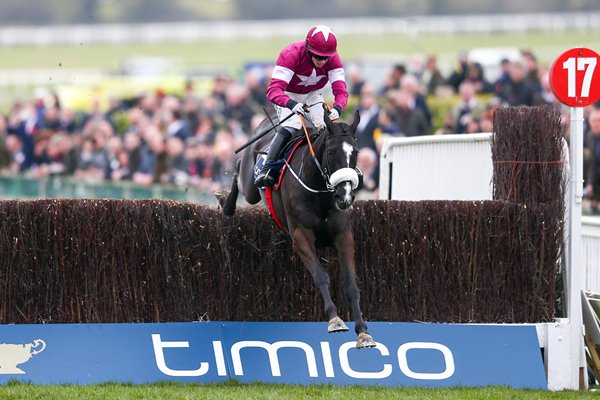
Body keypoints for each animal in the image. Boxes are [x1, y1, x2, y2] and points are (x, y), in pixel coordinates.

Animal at [216, 108, 376, 348]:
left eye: (355, 152)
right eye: (330, 152)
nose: (345, 196)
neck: (319, 190)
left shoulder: (343, 236)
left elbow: (350, 283)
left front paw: (363, 332)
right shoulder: (301, 236)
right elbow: (320, 276)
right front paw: (335, 320)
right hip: (250, 187)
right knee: (238, 171)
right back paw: (225, 200)